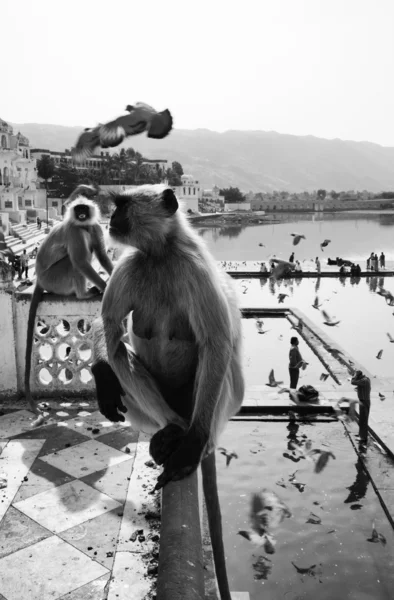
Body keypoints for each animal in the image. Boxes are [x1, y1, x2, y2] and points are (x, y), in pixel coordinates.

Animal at [25, 185, 112, 414]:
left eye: (84, 208)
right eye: (78, 209)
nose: (81, 214)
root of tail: (39, 278)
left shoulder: (94, 226)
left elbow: (102, 254)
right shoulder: (74, 229)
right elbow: (81, 262)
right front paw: (105, 287)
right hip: (56, 278)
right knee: (75, 261)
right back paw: (84, 294)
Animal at [91, 184, 245, 600]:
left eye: (122, 206)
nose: (110, 220)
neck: (160, 255)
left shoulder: (196, 270)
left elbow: (216, 343)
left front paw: (189, 447)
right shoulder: (130, 263)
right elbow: (109, 326)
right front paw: (101, 373)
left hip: (213, 408)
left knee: (218, 356)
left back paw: (191, 439)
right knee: (118, 352)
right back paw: (168, 427)